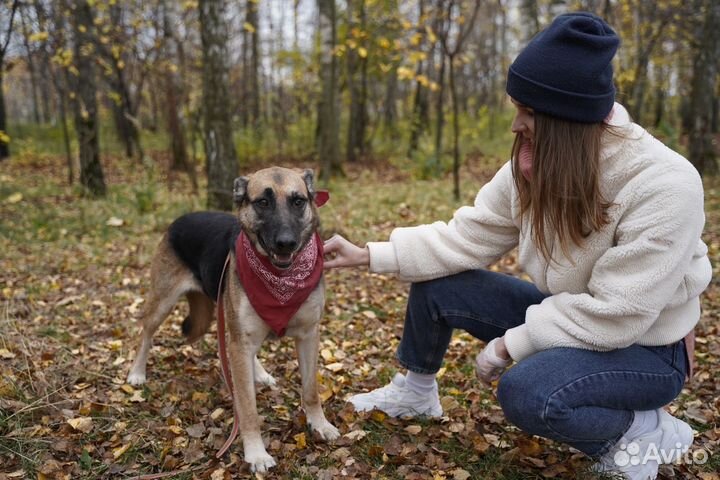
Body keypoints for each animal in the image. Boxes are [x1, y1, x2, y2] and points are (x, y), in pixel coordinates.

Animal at [125, 168, 338, 472]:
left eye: (298, 201)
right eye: (263, 202)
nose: (287, 243)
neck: (281, 279)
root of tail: (182, 217)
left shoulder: (308, 336)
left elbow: (310, 390)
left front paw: (319, 424)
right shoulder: (241, 342)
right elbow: (247, 407)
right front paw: (256, 453)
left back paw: (258, 372)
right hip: (163, 302)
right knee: (146, 332)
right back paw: (137, 372)